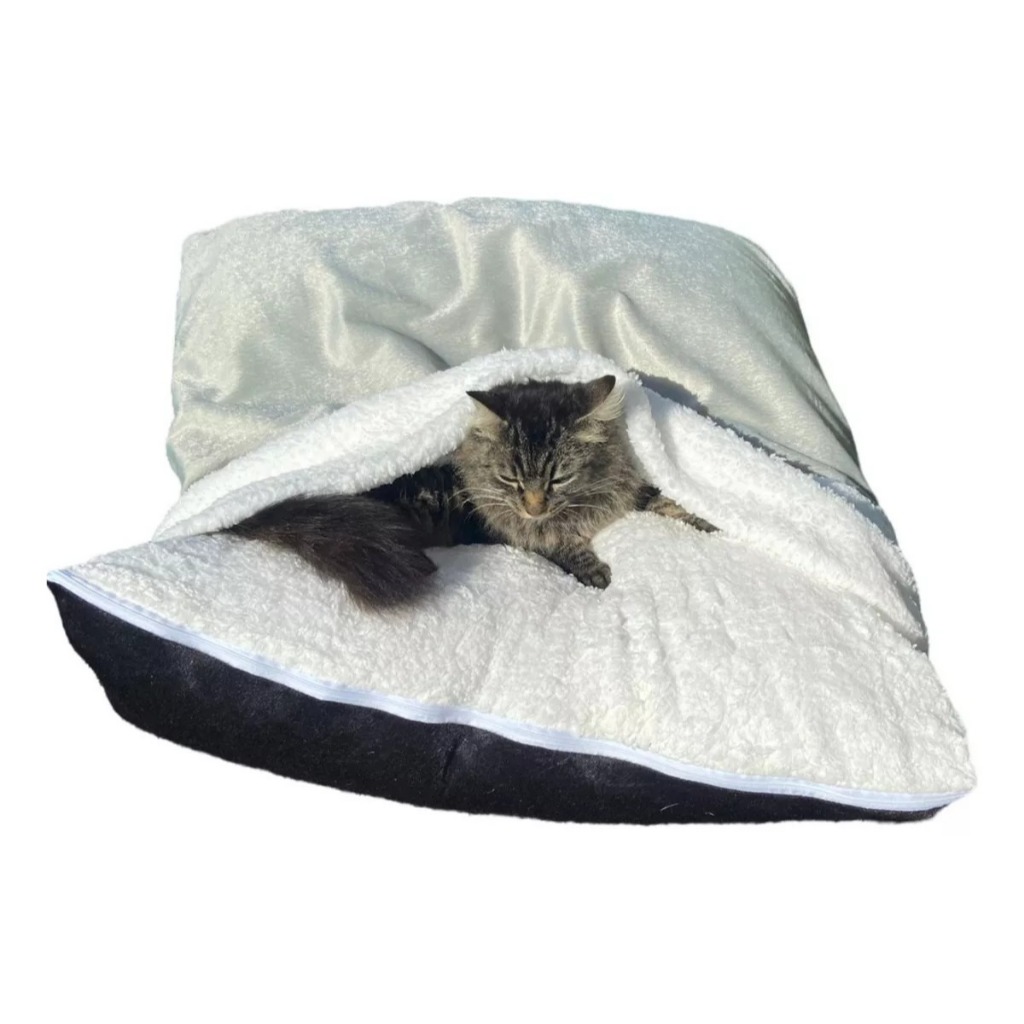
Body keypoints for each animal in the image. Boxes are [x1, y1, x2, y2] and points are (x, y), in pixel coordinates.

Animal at [227, 375, 717, 609]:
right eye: (510, 481)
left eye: (557, 479)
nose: (534, 506)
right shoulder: (511, 533)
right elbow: (555, 547)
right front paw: (591, 570)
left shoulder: (626, 490)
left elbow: (664, 500)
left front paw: (703, 521)